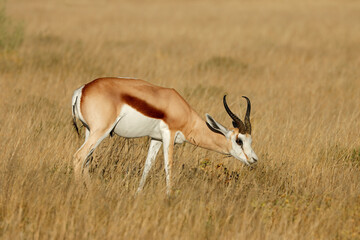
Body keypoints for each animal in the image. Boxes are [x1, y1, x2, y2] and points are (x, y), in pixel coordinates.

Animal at [71, 78, 258, 194]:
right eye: (239, 140)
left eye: (250, 140)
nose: (254, 159)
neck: (184, 113)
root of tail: (81, 90)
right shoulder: (169, 135)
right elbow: (169, 166)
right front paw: (169, 195)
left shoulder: (156, 139)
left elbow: (148, 166)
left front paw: (138, 194)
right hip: (100, 131)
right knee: (79, 156)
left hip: (89, 131)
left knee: (86, 159)